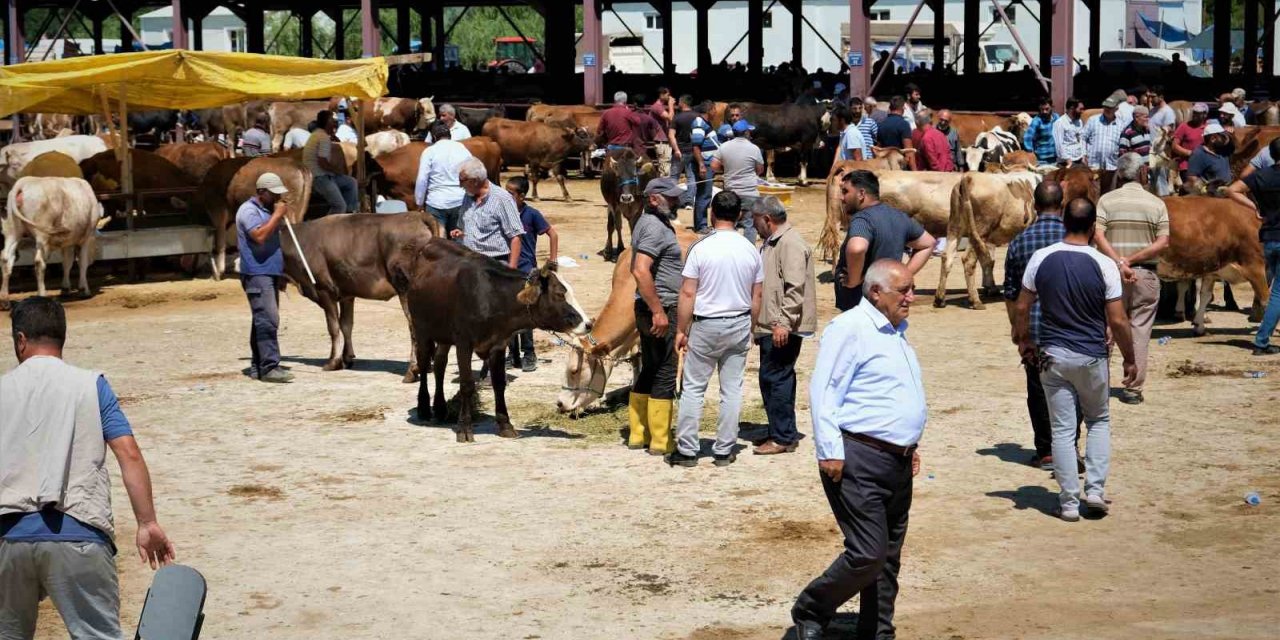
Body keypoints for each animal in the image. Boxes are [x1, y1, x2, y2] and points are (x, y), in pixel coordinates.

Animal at [0, 176, 104, 308]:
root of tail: (23, 182)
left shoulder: (67, 242)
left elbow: (67, 263)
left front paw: (65, 288)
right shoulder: (85, 238)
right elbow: (82, 263)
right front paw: (84, 289)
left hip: (12, 231)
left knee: (6, 258)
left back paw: (4, 300)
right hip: (42, 235)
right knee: (39, 262)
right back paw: (42, 294)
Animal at [280, 209, 440, 378]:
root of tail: (418, 215)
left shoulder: (324, 291)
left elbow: (333, 327)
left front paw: (333, 361)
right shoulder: (347, 294)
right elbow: (346, 324)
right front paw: (347, 358)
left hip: (405, 290)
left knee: (414, 328)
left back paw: (411, 370)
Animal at [391, 238, 591, 442]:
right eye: (559, 294)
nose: (588, 324)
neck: (493, 296)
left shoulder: (498, 345)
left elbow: (499, 384)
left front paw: (505, 425)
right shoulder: (464, 344)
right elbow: (466, 385)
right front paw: (464, 428)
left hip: (444, 337)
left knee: (439, 365)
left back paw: (440, 408)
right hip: (421, 330)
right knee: (424, 365)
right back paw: (424, 408)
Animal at [942, 170, 1039, 309]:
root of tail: (969, 177)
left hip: (954, 226)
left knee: (947, 256)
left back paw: (939, 299)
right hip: (980, 230)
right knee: (968, 260)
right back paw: (975, 301)